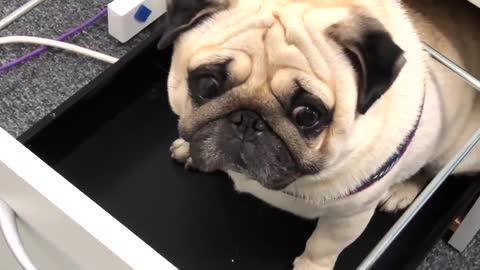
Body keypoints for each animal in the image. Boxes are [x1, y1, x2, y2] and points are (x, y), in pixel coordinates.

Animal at [158, 1, 480, 268]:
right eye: (207, 86)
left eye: (308, 115)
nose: (247, 120)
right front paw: (189, 149)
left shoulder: (348, 217)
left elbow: (322, 247)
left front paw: (311, 266)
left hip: (456, 158)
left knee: (431, 170)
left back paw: (403, 190)